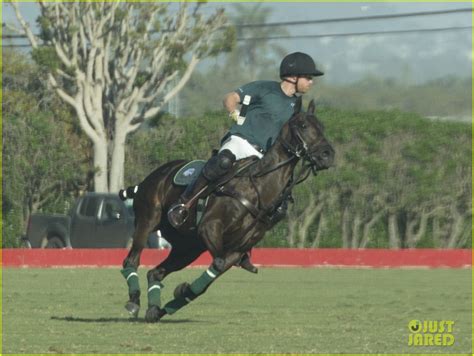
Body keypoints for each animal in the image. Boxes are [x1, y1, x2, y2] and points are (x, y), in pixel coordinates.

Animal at [119, 99, 334, 322]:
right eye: (303, 125)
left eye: (322, 127)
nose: (327, 155)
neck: (257, 188)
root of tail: (151, 177)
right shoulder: (210, 227)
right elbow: (219, 262)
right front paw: (181, 292)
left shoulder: (238, 248)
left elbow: (215, 270)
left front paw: (181, 293)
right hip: (148, 219)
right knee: (131, 260)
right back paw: (134, 301)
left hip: (188, 247)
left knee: (156, 272)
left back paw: (155, 309)